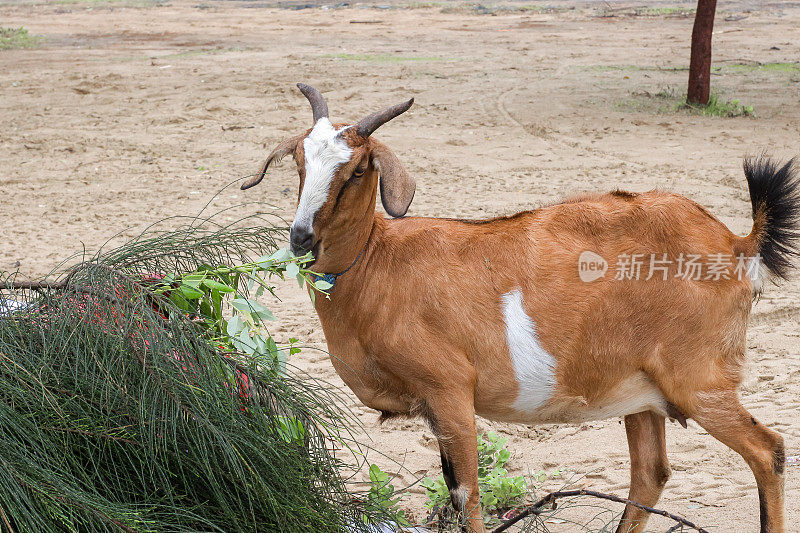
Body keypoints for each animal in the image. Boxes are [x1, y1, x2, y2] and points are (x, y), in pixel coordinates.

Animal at [244, 83, 800, 532]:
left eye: (358, 169)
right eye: (299, 162)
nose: (301, 237)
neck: (379, 262)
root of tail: (736, 242)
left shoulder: (449, 390)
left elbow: (466, 494)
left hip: (699, 380)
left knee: (768, 451)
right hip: (643, 394)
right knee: (650, 473)